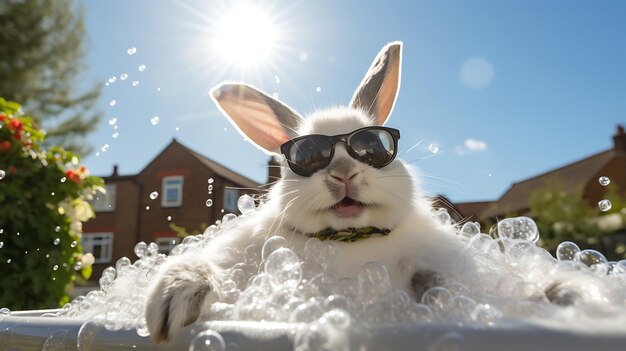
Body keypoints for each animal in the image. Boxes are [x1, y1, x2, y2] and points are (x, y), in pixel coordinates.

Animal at [145, 41, 472, 344]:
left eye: (375, 147)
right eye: (305, 154)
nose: (344, 174)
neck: (347, 239)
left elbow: (434, 277)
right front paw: (169, 302)